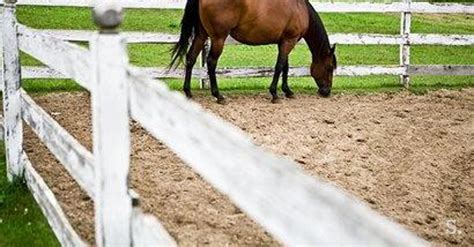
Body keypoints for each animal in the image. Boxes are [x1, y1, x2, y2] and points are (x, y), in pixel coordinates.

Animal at [170, 0, 336, 103]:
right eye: (330, 67)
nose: (326, 91)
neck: (300, 8)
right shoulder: (289, 41)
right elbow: (279, 66)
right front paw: (274, 94)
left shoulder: (285, 42)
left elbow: (285, 66)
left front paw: (287, 91)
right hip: (218, 38)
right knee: (211, 63)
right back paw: (218, 96)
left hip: (201, 35)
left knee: (191, 57)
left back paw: (188, 92)